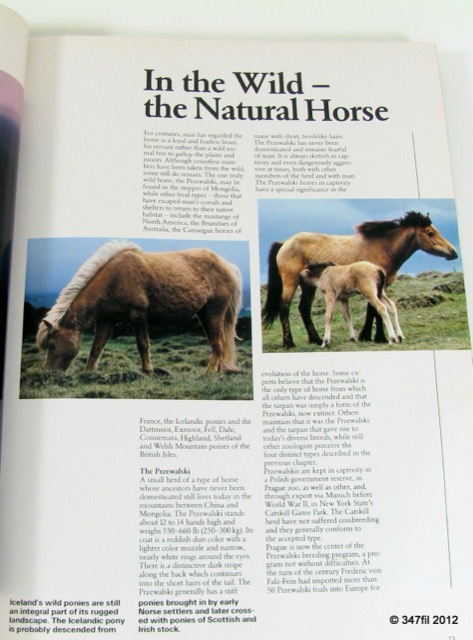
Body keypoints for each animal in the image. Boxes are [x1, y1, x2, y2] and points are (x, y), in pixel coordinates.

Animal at [36, 241, 242, 374]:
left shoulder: (138, 315)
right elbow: (97, 346)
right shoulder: (106, 320)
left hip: (215, 311)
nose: (48, 373)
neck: (115, 279)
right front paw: (88, 373)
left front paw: (148, 371)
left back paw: (208, 374)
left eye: (52, 344)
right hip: (204, 314)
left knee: (218, 343)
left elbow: (143, 345)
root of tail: (227, 265)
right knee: (217, 343)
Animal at [262, 211, 458, 348]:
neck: (383, 247)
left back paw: (316, 339)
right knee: (285, 308)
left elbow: (375, 310)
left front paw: (373, 336)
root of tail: (284, 243)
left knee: (303, 308)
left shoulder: (379, 287)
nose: (454, 253)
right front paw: (377, 337)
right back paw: (289, 343)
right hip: (291, 281)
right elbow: (375, 310)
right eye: (430, 232)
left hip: (308, 285)